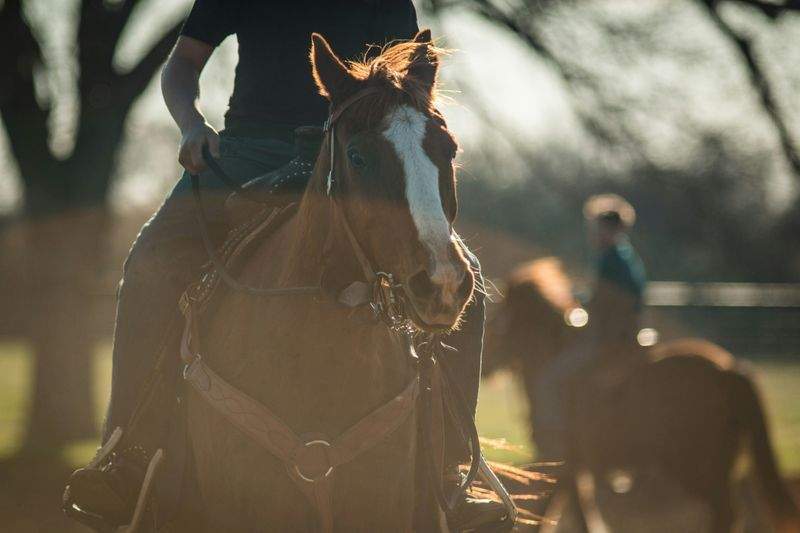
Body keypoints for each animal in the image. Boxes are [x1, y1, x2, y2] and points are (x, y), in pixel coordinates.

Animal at [484, 258, 800, 533]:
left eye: (498, 322)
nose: (484, 365)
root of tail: (728, 369)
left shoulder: (560, 459)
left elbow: (549, 508)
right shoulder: (574, 467)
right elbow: (578, 511)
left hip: (697, 467)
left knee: (727, 512)